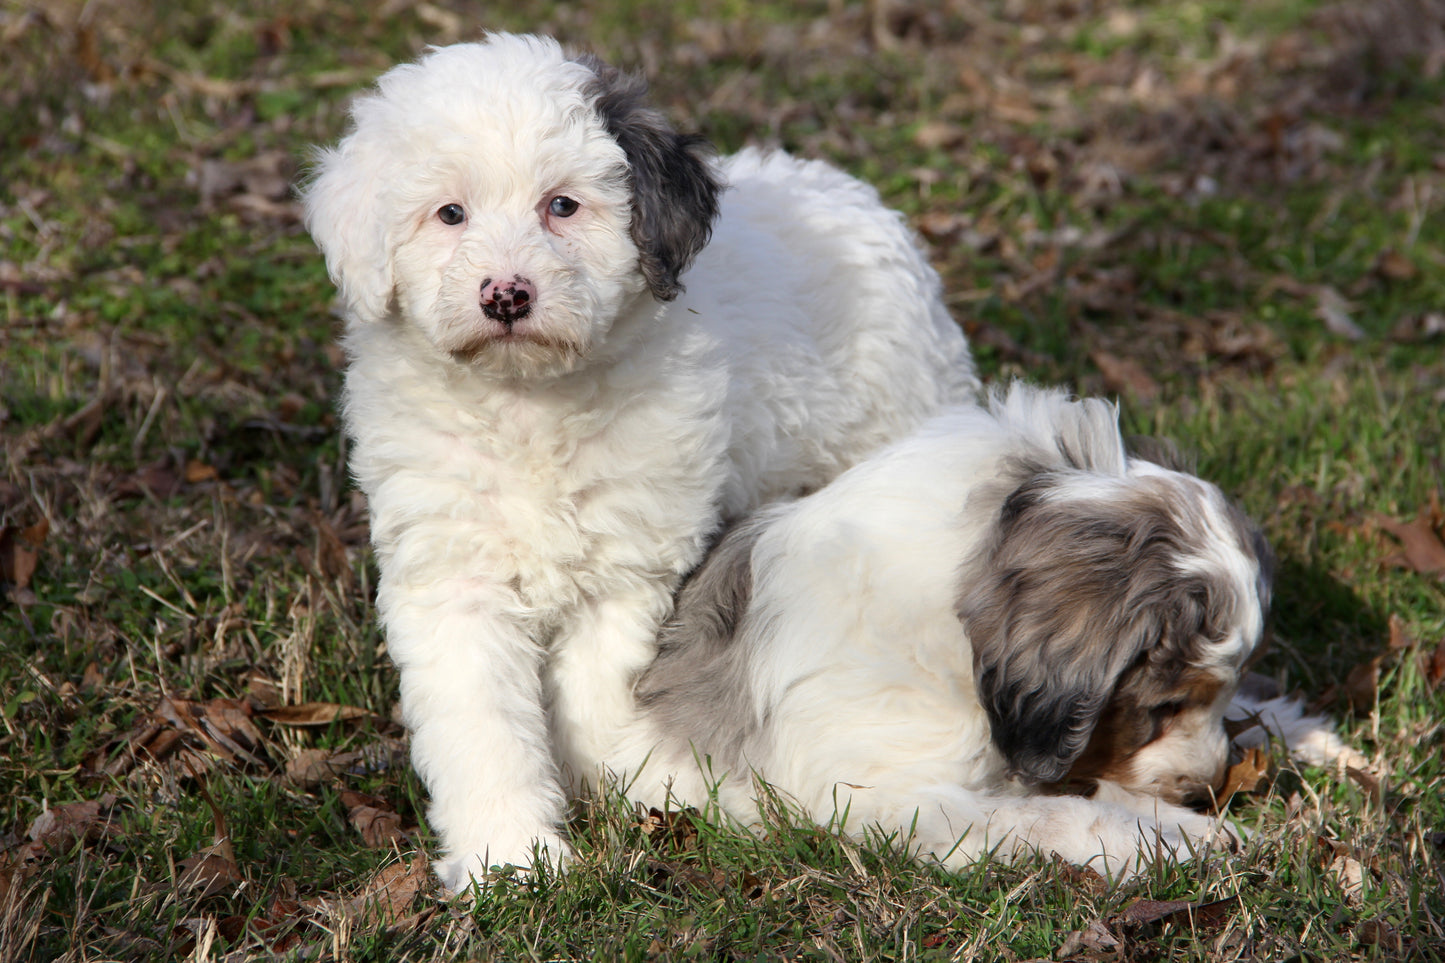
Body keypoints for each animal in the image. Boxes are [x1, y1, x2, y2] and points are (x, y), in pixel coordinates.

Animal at [304, 33, 982, 890]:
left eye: (562, 205)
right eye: (449, 213)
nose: (505, 296)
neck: (528, 403)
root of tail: (856, 196)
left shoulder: (627, 569)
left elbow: (598, 693)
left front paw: (631, 789)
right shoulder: (454, 578)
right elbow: (481, 724)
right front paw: (508, 858)